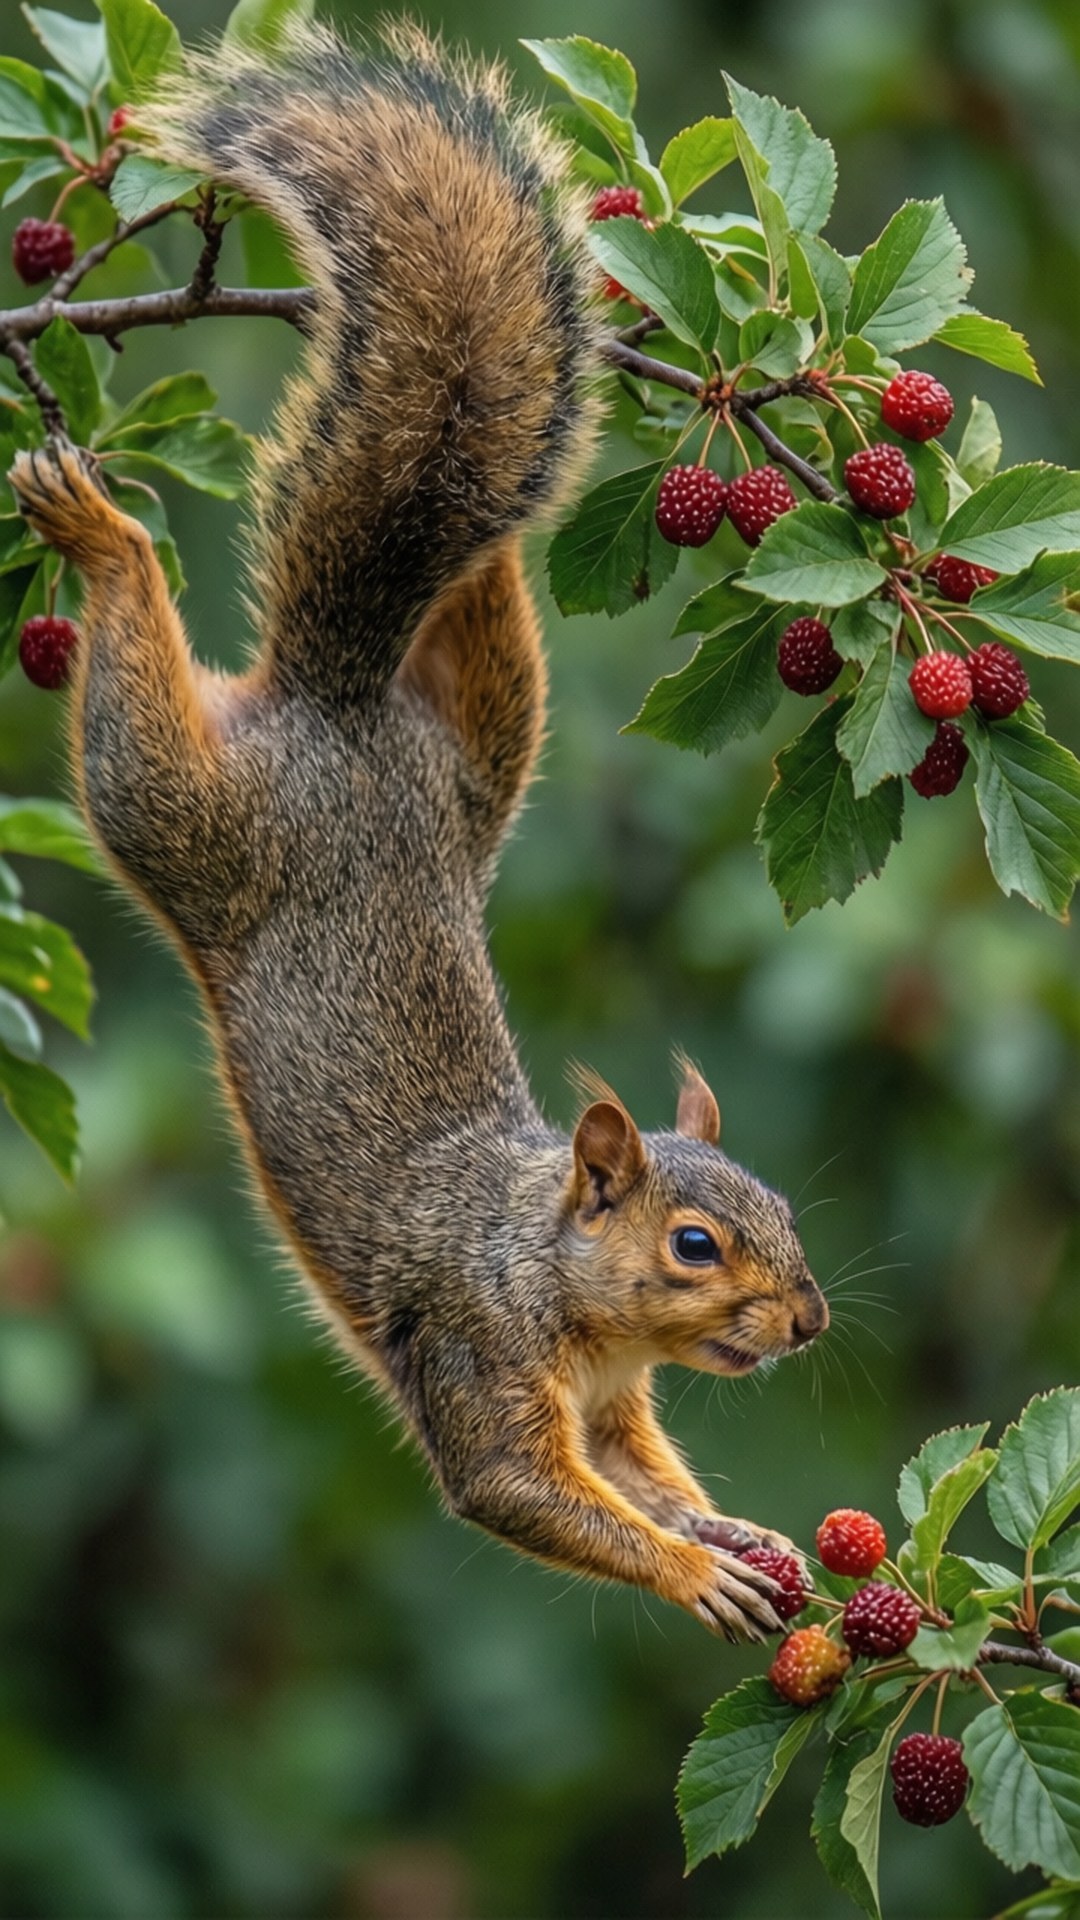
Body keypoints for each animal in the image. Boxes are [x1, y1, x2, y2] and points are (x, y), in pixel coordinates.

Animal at [9, 20, 828, 1640]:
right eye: (696, 1244)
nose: (808, 1321)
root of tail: (337, 709)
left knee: (486, 576)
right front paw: (696, 1571)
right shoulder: (473, 1352)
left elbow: (641, 1476)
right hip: (185, 813)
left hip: (489, 750)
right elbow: (526, 1491)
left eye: (777, 1205)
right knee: (137, 719)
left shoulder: (619, 1411)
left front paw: (738, 1530)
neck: (550, 1265)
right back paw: (98, 535)